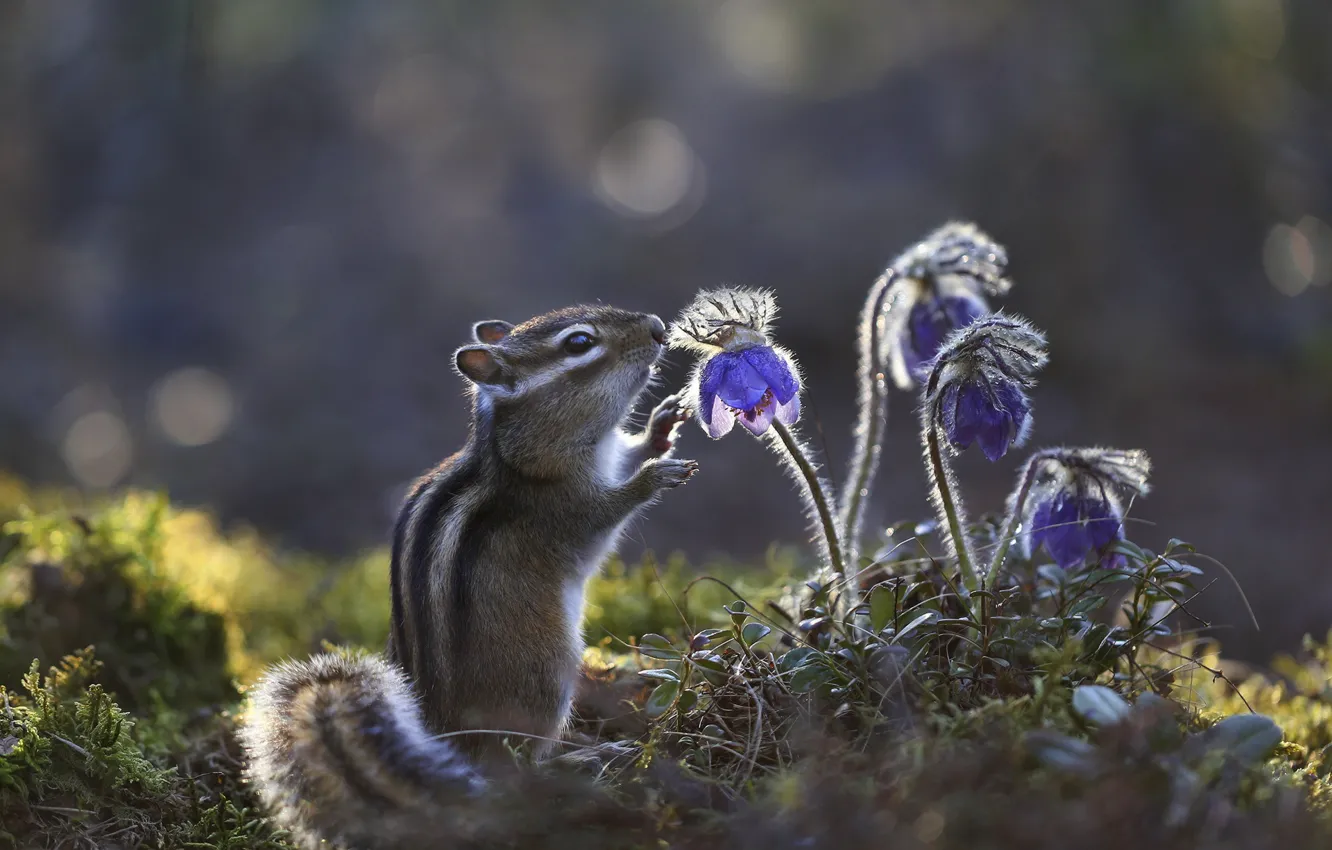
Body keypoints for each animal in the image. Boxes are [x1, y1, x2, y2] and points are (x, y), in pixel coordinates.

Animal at [239, 305, 697, 850]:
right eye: (579, 342)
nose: (658, 328)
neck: (514, 453)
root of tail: (446, 739)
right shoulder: (564, 507)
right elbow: (607, 510)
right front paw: (655, 473)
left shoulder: (605, 456)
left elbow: (626, 452)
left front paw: (660, 426)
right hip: (547, 674)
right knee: (517, 769)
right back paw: (586, 757)